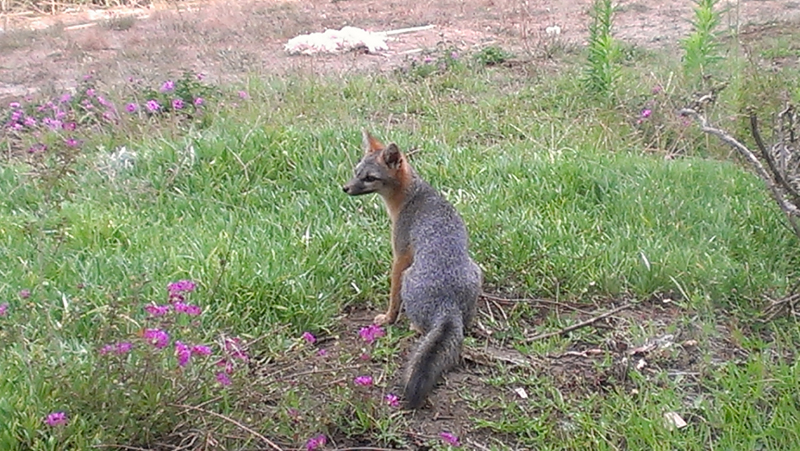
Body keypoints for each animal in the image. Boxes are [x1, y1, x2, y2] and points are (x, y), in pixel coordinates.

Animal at [342, 131, 482, 410]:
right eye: (356, 172)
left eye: (369, 178)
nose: (345, 188)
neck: (413, 196)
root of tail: (447, 303)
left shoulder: (400, 255)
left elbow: (393, 294)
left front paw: (388, 317)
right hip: (476, 271)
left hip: (409, 277)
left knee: (420, 326)